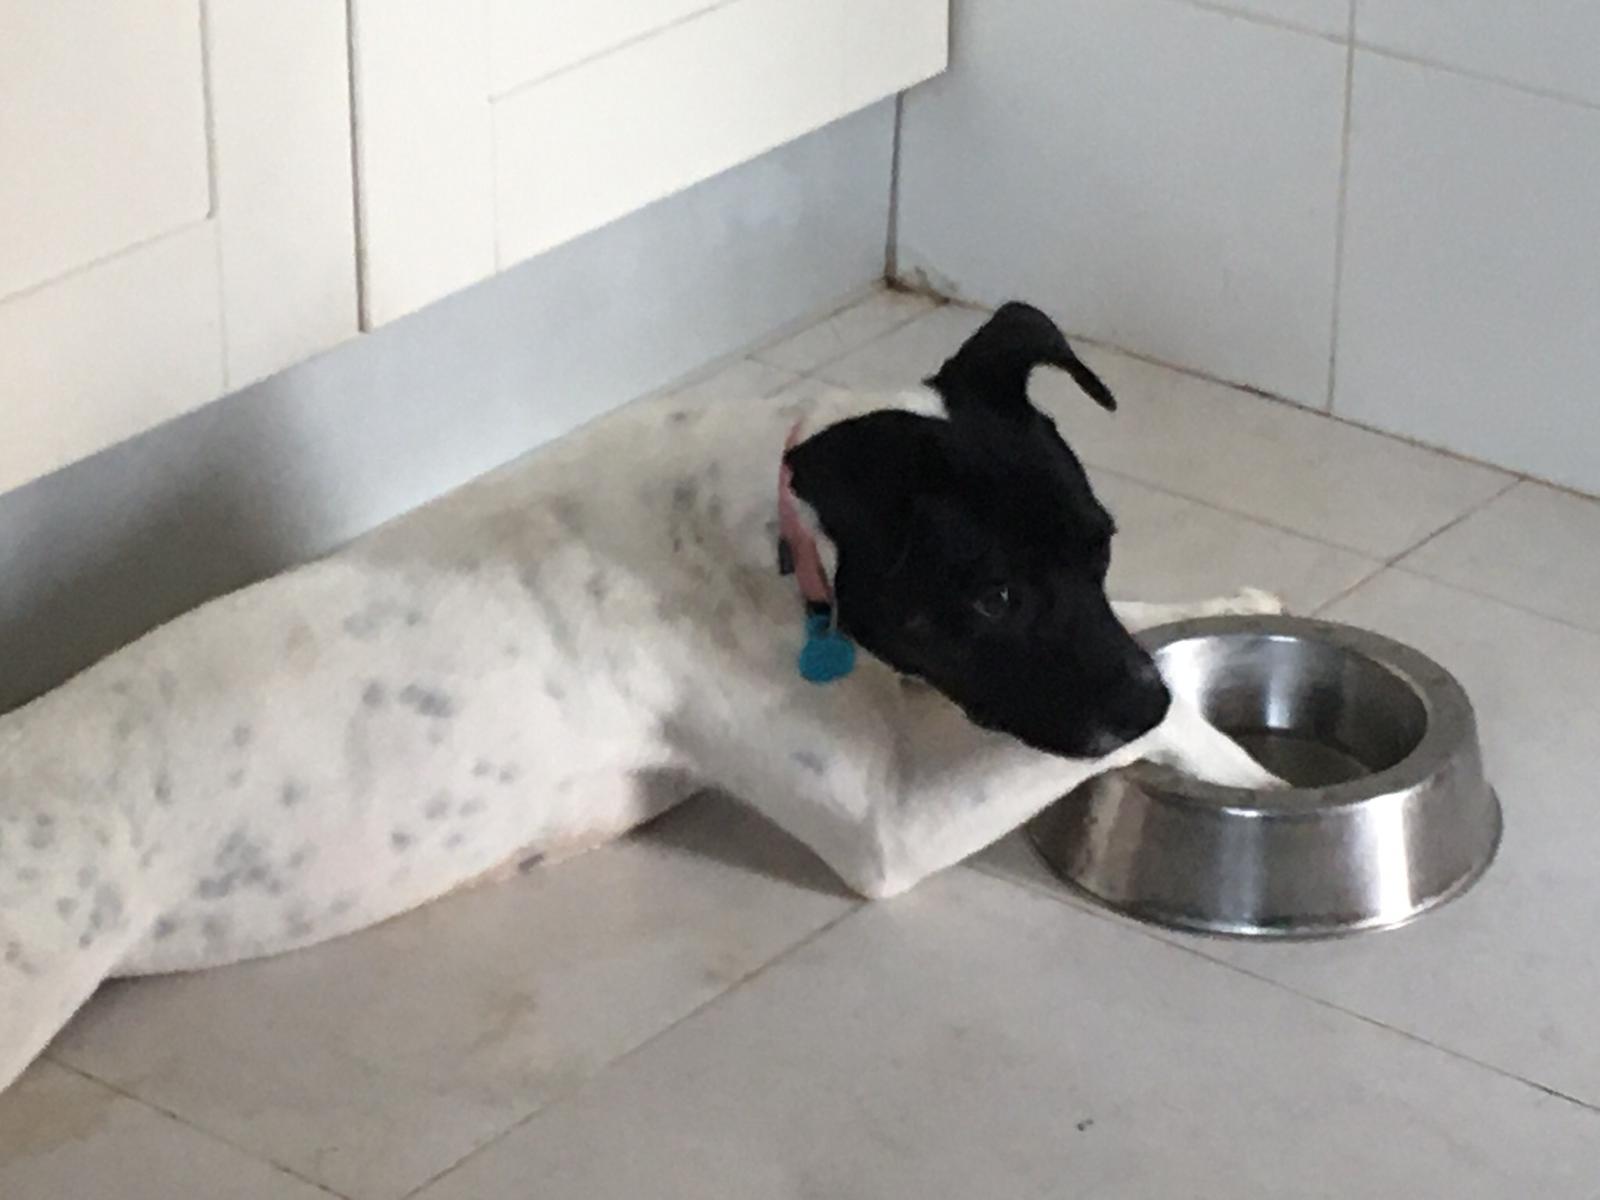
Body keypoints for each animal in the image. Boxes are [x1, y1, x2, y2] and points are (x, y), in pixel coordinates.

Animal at [0, 301, 1281, 1093]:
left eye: (1100, 545)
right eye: (996, 596)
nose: (1129, 703)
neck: (773, 538)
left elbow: (1163, 629)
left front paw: (1236, 600)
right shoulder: (891, 824)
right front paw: (1235, 755)